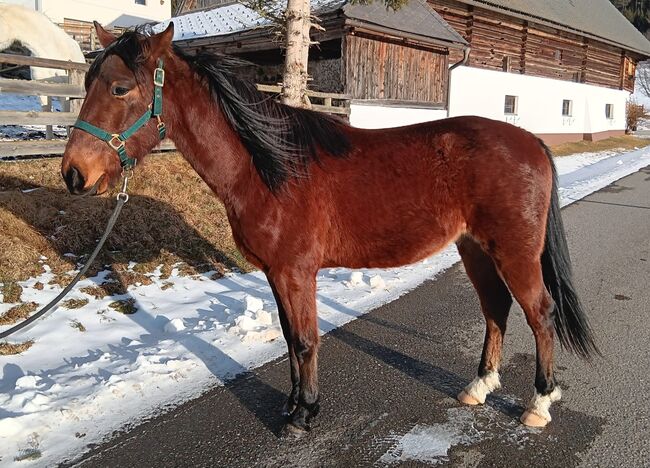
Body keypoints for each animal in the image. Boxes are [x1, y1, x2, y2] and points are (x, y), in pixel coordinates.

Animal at [62, 23, 596, 434]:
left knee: (540, 313)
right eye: (87, 83)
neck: (269, 167)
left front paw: (304, 414)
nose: (73, 174)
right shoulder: (276, 273)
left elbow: (305, 338)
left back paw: (539, 404)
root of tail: (529, 140)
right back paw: (478, 387)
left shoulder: (297, 271)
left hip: (513, 252)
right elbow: (287, 335)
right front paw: (292, 403)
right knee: (496, 310)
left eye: (120, 88)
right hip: (475, 249)